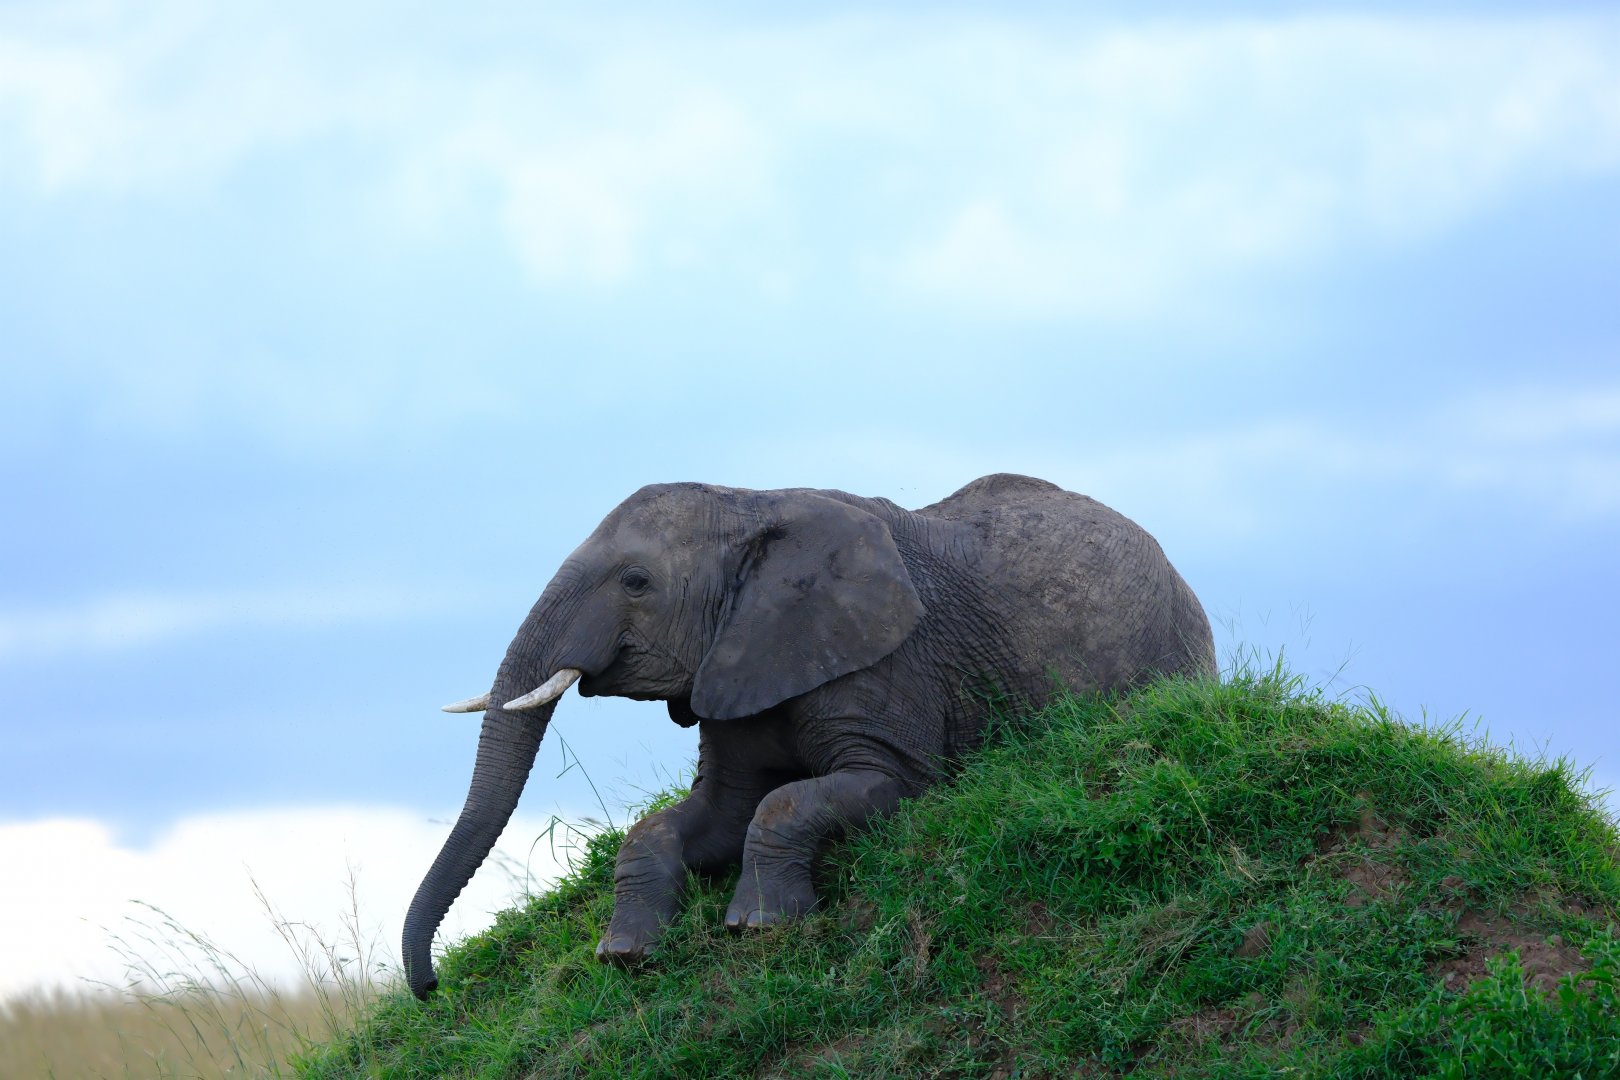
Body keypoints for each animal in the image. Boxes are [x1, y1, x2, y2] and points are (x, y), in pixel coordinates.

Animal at [403, 473, 1214, 998]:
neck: (751, 504)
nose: (432, 988)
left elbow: (834, 793)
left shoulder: (887, 660)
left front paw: (760, 929)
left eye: (636, 581)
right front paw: (625, 954)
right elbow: (708, 814)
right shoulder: (737, 661)